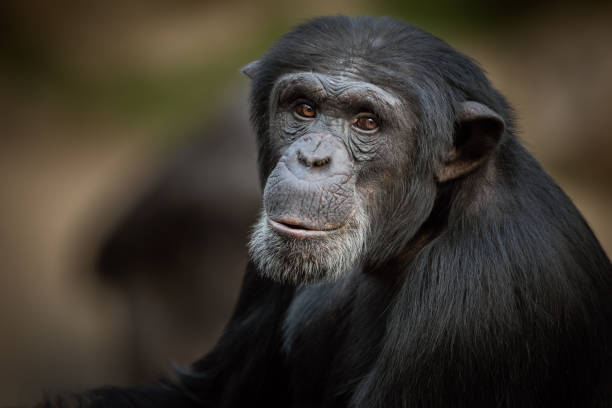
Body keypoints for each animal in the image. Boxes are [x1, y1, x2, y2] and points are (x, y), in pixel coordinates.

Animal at [40, 15, 612, 408]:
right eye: (305, 109)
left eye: (366, 122)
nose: (313, 157)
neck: (424, 229)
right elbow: (209, 391)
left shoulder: (482, 295)